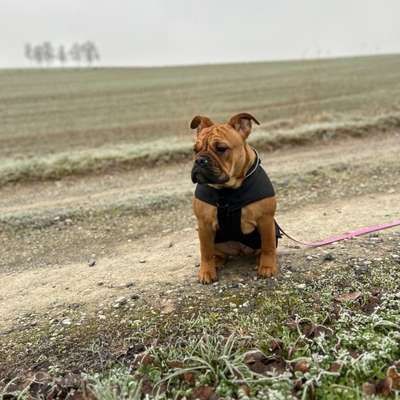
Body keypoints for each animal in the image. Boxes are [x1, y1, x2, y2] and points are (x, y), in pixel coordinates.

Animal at [191, 112, 278, 284]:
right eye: (195, 150)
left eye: (221, 148)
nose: (199, 160)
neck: (228, 190)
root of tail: (239, 251)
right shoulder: (204, 225)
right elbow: (205, 251)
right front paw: (206, 271)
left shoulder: (265, 220)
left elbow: (268, 246)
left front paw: (268, 267)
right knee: (215, 253)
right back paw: (217, 262)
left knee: (263, 248)